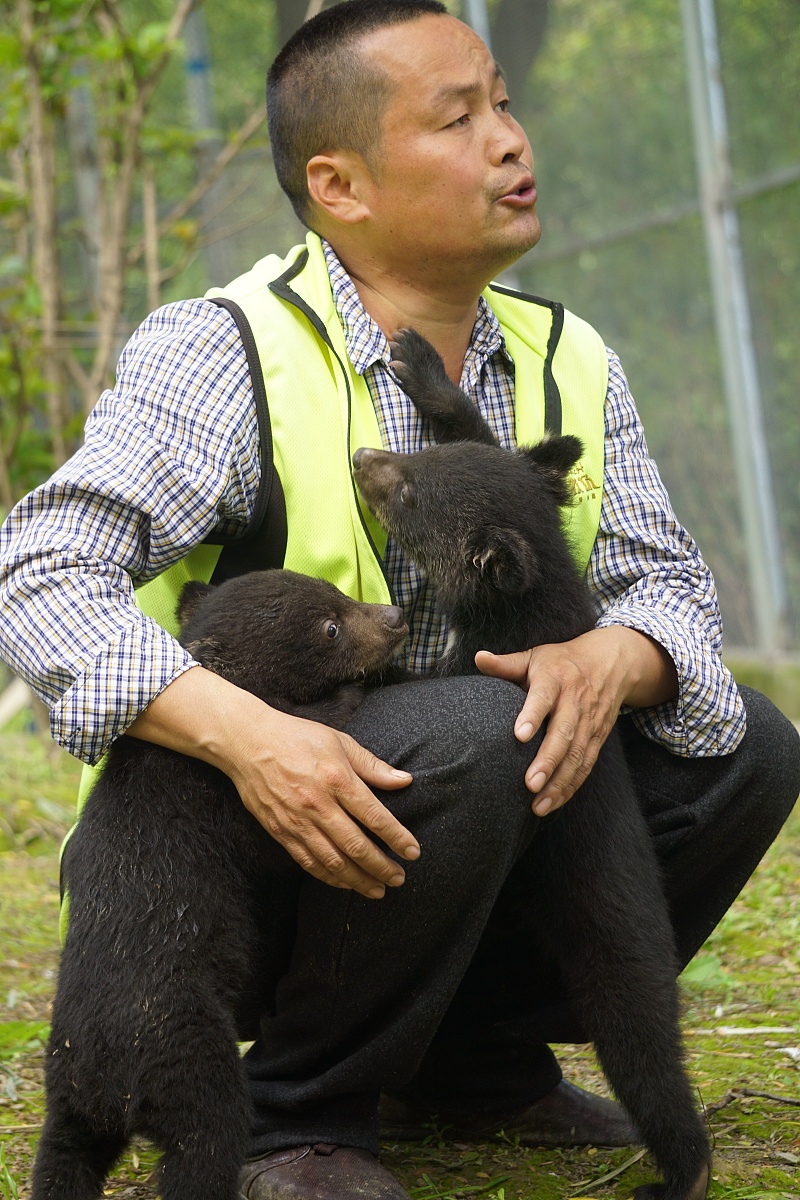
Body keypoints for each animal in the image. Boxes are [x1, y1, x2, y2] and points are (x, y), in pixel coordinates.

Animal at [31, 570, 408, 1200]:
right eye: (331, 627)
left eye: (335, 590)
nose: (395, 617)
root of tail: (106, 1081)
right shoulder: (222, 791)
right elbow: (272, 840)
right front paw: (346, 700)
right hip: (190, 1058)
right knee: (207, 1142)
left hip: (67, 1103)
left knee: (61, 1161)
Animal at [351, 327, 711, 1200]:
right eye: (417, 464)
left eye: (407, 496)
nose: (363, 455)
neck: (523, 600)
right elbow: (491, 436)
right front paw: (419, 359)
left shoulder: (500, 661)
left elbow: (426, 683)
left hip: (610, 961)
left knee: (646, 1059)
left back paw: (680, 1172)